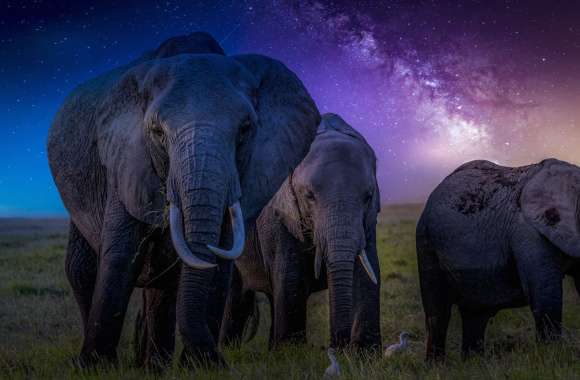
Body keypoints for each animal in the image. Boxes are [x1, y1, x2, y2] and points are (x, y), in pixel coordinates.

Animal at [48, 31, 322, 370]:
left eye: (245, 129)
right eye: (157, 132)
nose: (214, 358)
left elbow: (219, 261)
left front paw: (202, 366)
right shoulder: (124, 161)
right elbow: (120, 254)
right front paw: (95, 367)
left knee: (161, 286)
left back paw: (154, 367)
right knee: (83, 269)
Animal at [220, 114, 382, 352]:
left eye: (368, 197)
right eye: (309, 196)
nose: (336, 348)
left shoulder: (367, 223)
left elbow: (366, 274)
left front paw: (364, 354)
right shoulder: (276, 216)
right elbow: (290, 279)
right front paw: (291, 353)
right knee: (235, 297)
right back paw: (229, 350)